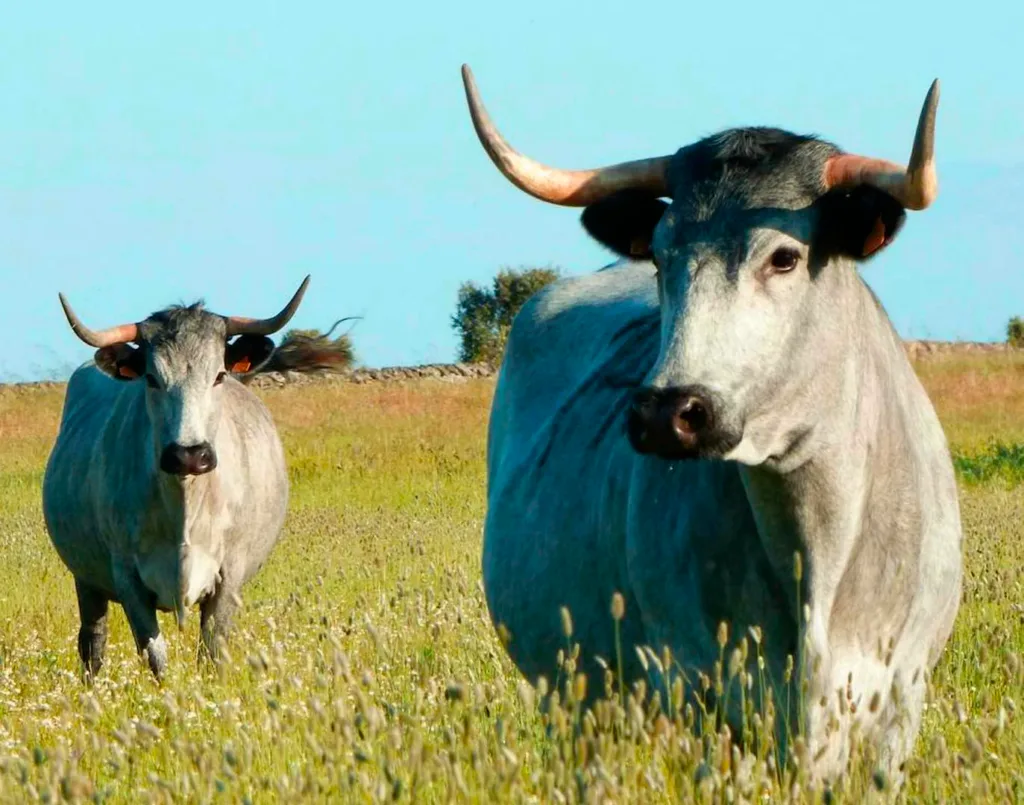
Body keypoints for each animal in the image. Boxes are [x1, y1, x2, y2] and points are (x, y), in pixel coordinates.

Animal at [42, 277, 310, 680]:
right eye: (152, 379)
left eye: (219, 376)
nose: (189, 455)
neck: (185, 503)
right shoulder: (127, 580)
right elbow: (155, 656)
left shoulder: (228, 578)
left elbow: (212, 652)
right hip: (86, 579)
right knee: (92, 641)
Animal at [460, 64, 963, 785]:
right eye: (660, 256)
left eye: (783, 257)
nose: (667, 412)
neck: (819, 545)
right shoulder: (706, 696)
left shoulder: (899, 703)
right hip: (574, 698)